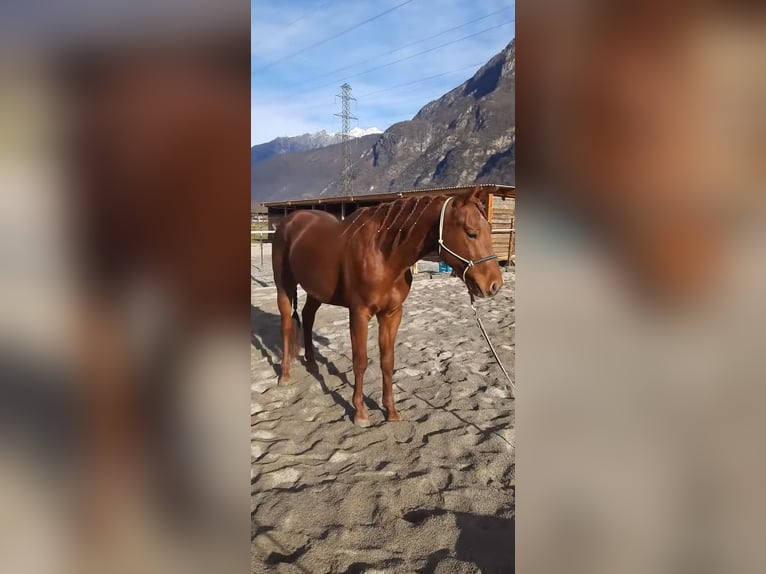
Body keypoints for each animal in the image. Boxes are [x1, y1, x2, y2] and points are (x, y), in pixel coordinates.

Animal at [272, 185, 504, 426]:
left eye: (489, 229)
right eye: (471, 232)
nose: (494, 285)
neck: (383, 254)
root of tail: (289, 221)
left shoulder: (392, 314)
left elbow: (387, 361)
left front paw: (391, 410)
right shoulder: (359, 314)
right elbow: (360, 361)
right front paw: (360, 413)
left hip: (315, 291)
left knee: (307, 318)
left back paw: (312, 364)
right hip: (284, 287)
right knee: (287, 326)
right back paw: (285, 375)